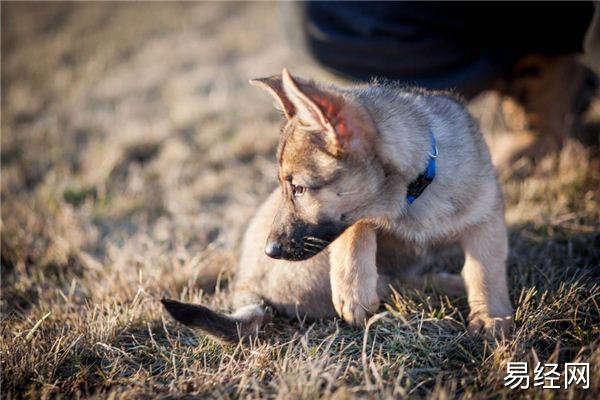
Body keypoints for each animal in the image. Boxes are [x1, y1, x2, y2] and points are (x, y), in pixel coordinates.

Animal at [162, 68, 512, 340]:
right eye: (288, 188)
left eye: (299, 189)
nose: (270, 251)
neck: (414, 194)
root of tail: (247, 284)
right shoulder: (354, 222)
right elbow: (356, 228)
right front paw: (352, 290)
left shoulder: (486, 216)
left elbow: (485, 269)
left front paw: (490, 317)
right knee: (395, 284)